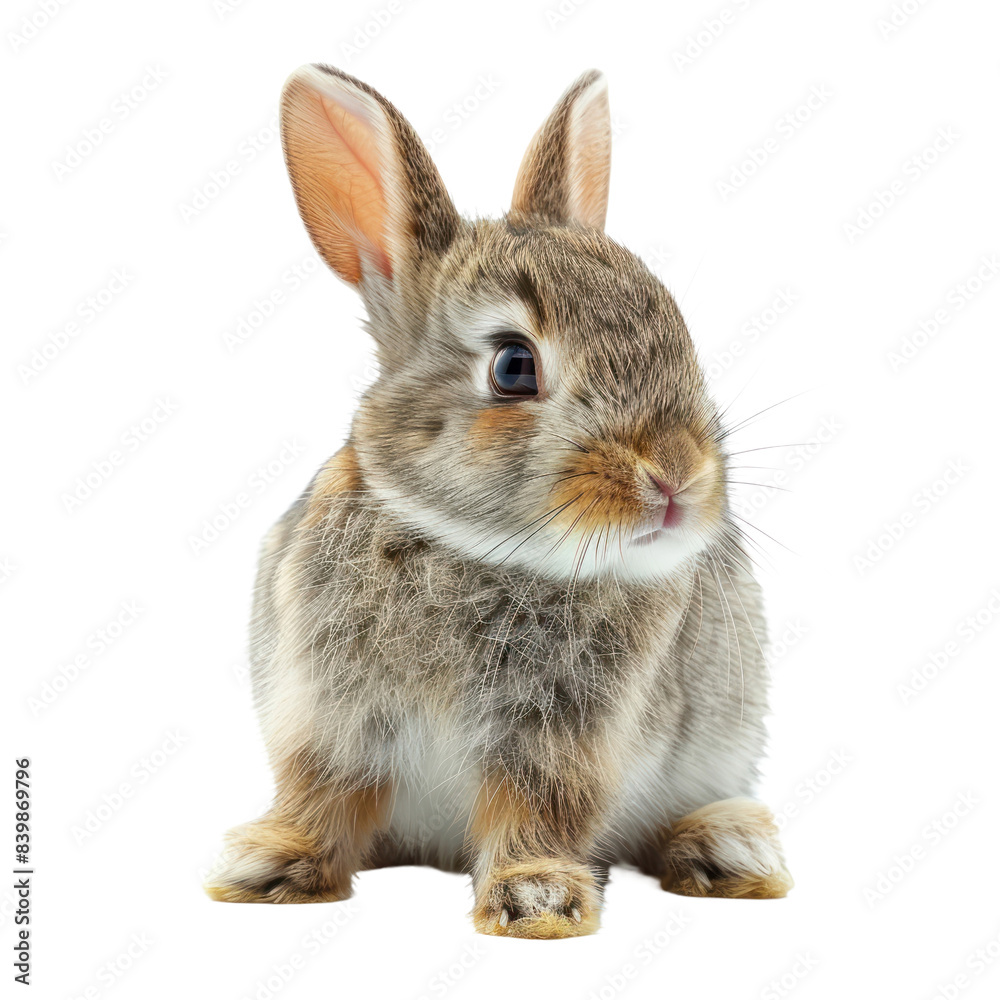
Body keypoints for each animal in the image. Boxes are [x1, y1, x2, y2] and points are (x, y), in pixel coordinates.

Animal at [203, 64, 793, 939]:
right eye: (514, 366)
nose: (676, 476)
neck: (464, 548)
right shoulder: (331, 722)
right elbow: (324, 796)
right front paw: (268, 869)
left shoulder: (561, 741)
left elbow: (539, 810)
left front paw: (536, 900)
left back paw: (729, 848)